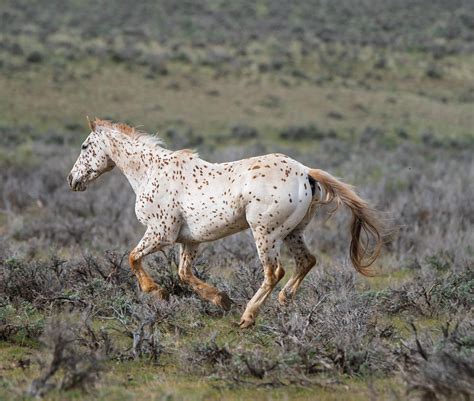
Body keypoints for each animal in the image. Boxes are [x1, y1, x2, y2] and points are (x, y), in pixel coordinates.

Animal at [67, 116, 386, 328]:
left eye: (84, 147)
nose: (72, 180)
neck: (150, 172)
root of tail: (305, 172)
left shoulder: (161, 233)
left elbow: (133, 257)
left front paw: (155, 291)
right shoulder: (190, 240)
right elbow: (184, 274)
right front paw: (220, 299)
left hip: (265, 233)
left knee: (274, 272)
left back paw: (248, 317)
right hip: (293, 232)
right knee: (306, 261)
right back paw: (284, 300)